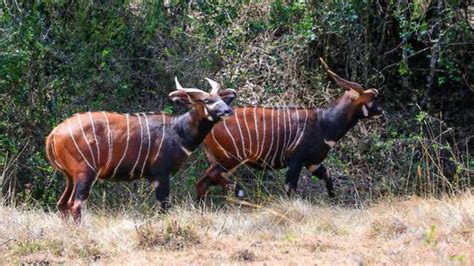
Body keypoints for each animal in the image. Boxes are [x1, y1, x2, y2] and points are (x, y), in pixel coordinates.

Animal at [45, 78, 237, 221]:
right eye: (207, 101)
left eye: (222, 98)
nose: (229, 110)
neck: (177, 130)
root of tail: (54, 134)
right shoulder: (161, 174)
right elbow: (164, 206)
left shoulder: (154, 177)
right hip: (85, 173)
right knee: (75, 204)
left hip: (70, 177)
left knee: (62, 204)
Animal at [198, 58, 384, 200]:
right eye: (371, 100)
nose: (381, 110)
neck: (323, 123)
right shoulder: (296, 160)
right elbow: (290, 189)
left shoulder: (313, 163)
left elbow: (328, 176)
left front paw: (334, 200)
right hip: (230, 159)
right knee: (209, 177)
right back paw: (236, 191)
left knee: (203, 181)